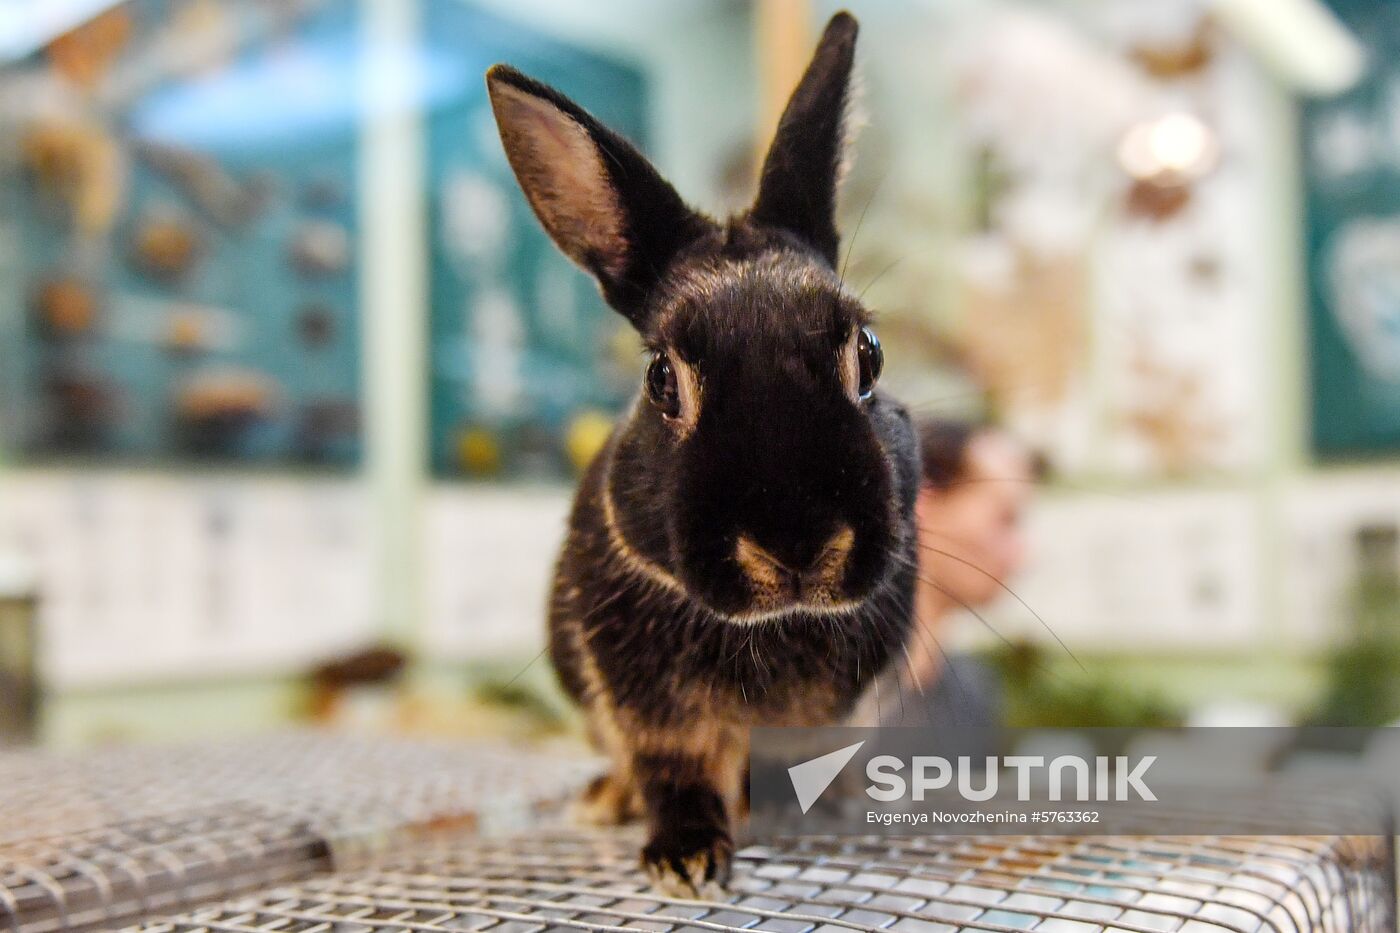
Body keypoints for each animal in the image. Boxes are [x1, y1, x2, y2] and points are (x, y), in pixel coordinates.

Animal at [485, 10, 919, 896]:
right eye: (662, 378)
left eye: (870, 353)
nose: (797, 545)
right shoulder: (650, 705)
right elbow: (673, 765)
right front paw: (684, 856)